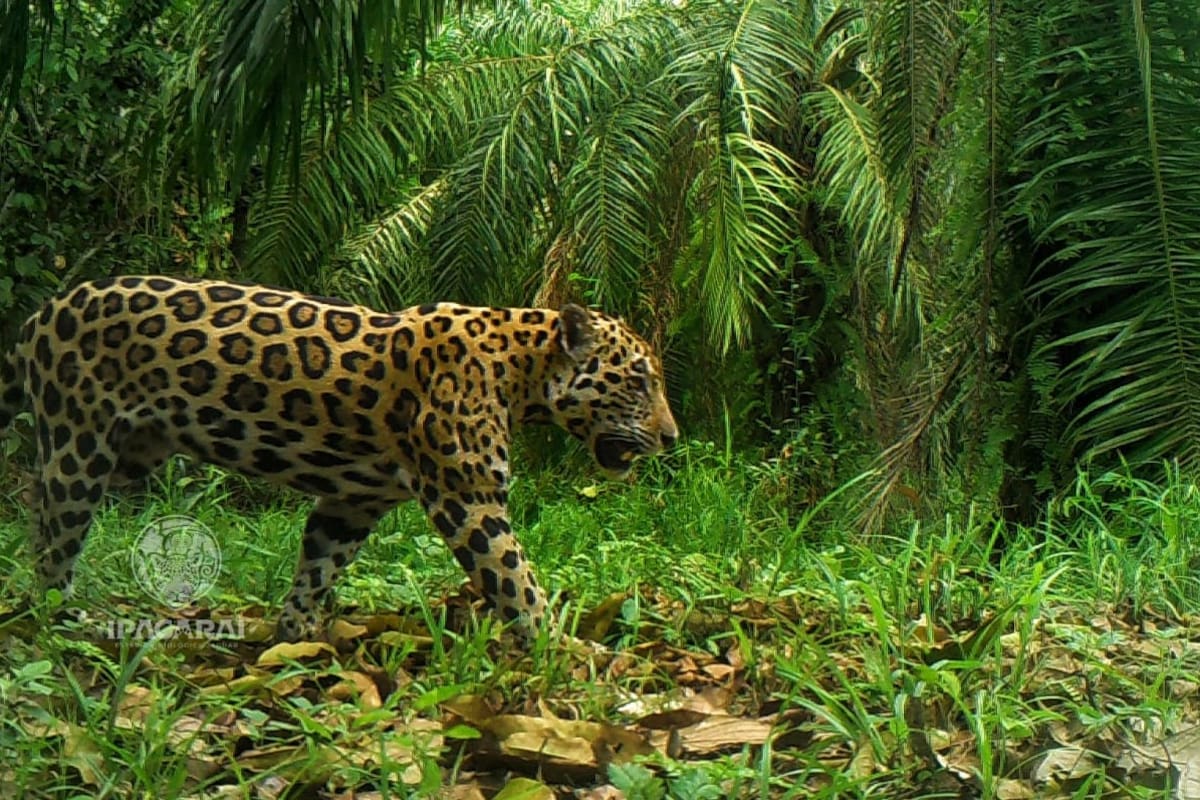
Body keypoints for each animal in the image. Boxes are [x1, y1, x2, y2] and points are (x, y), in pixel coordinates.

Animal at [0, 275, 678, 641]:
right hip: (83, 444)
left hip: (127, 453)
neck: (521, 369)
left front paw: (295, 640)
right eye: (639, 381)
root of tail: (42, 313)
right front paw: (565, 654)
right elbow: (518, 583)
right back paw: (55, 615)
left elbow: (317, 569)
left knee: (37, 500)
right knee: (56, 529)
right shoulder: (469, 501)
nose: (672, 437)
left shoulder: (353, 502)